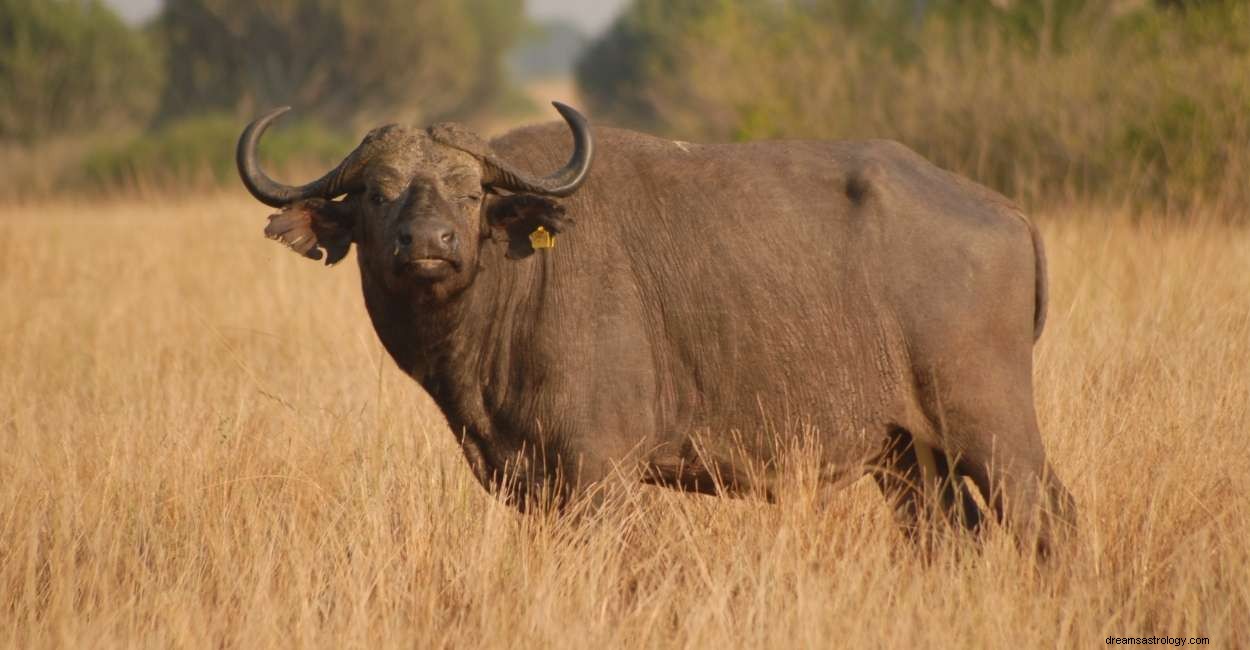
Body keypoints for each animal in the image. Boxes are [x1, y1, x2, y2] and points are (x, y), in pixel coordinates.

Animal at [236, 104, 1075, 550]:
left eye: (470, 193)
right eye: (378, 195)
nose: (429, 244)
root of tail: (1006, 211)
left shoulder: (598, 475)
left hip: (992, 430)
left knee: (1049, 518)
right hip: (907, 458)